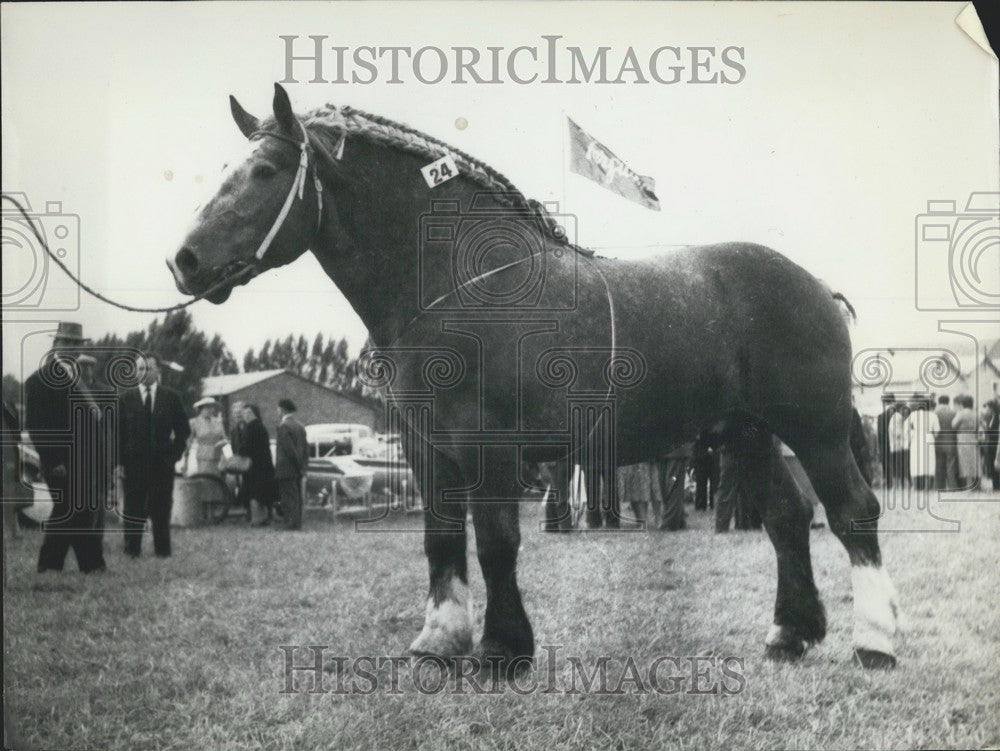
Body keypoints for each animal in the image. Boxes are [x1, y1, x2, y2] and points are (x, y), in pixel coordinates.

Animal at [168, 85, 904, 672]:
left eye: (265, 171)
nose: (184, 260)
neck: (456, 285)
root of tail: (817, 287)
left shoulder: (489, 446)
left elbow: (497, 542)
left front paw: (500, 648)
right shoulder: (426, 449)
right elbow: (441, 539)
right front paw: (440, 640)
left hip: (814, 431)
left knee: (852, 512)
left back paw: (875, 642)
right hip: (748, 434)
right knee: (787, 516)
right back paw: (790, 634)